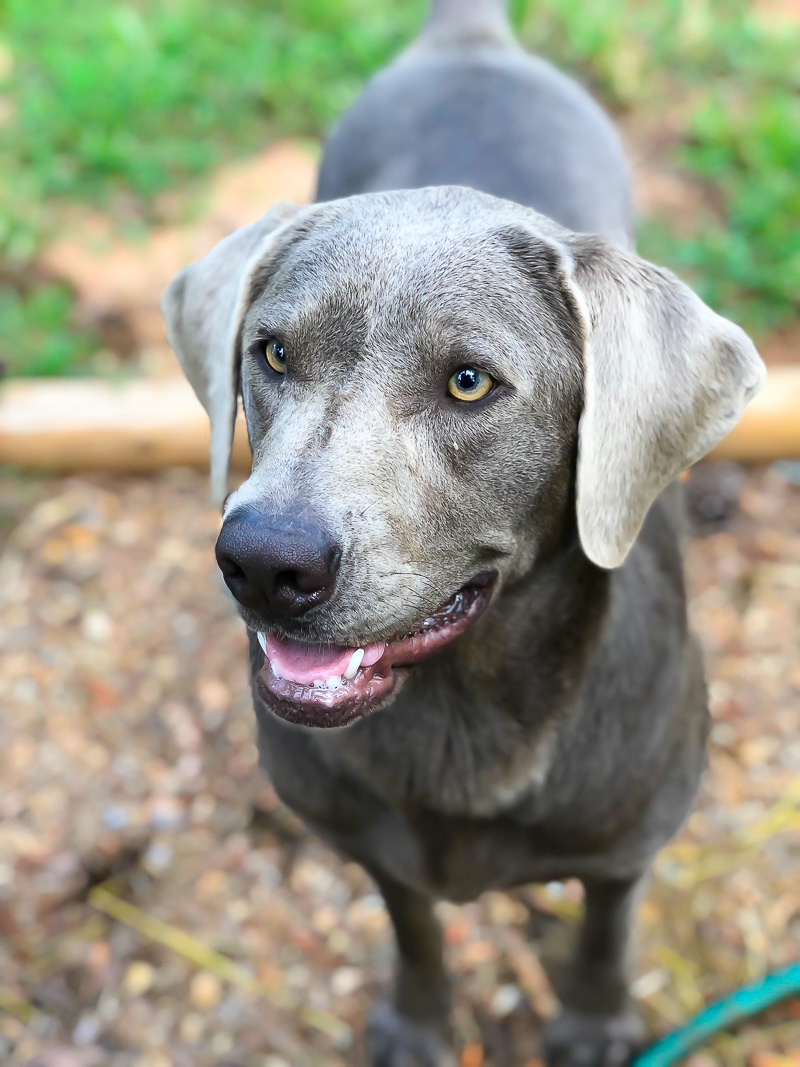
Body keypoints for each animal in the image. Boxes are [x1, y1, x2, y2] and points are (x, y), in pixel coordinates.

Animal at [161, 4, 763, 1062]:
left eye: (470, 382)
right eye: (270, 354)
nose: (264, 561)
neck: (461, 711)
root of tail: (468, 35)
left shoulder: (629, 839)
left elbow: (608, 924)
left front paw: (595, 1021)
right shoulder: (374, 843)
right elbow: (412, 919)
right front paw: (418, 1021)